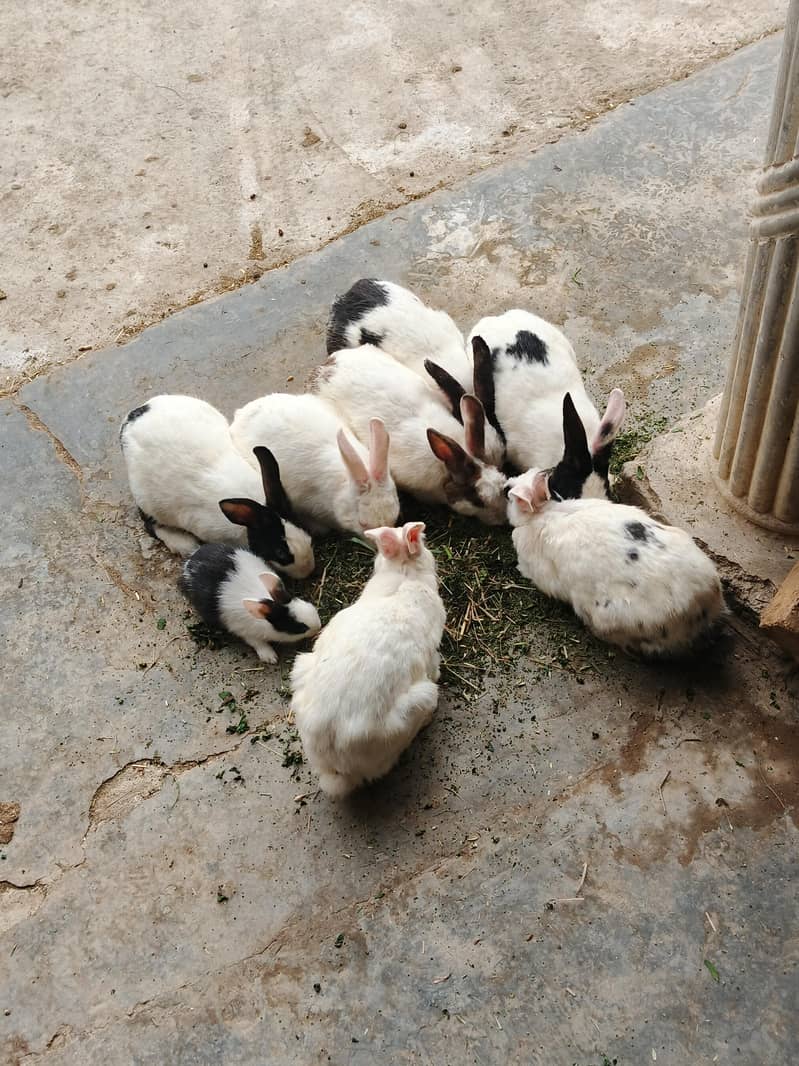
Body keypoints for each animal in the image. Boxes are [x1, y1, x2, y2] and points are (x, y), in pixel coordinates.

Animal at [120, 395, 314, 578]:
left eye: (306, 532)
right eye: (280, 553)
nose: (308, 570)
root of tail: (132, 418)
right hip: (147, 500)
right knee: (150, 523)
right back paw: (182, 543)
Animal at [180, 544, 321, 663]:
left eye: (307, 604)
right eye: (300, 627)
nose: (319, 626)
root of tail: (190, 561)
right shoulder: (245, 632)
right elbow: (257, 643)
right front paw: (270, 657)